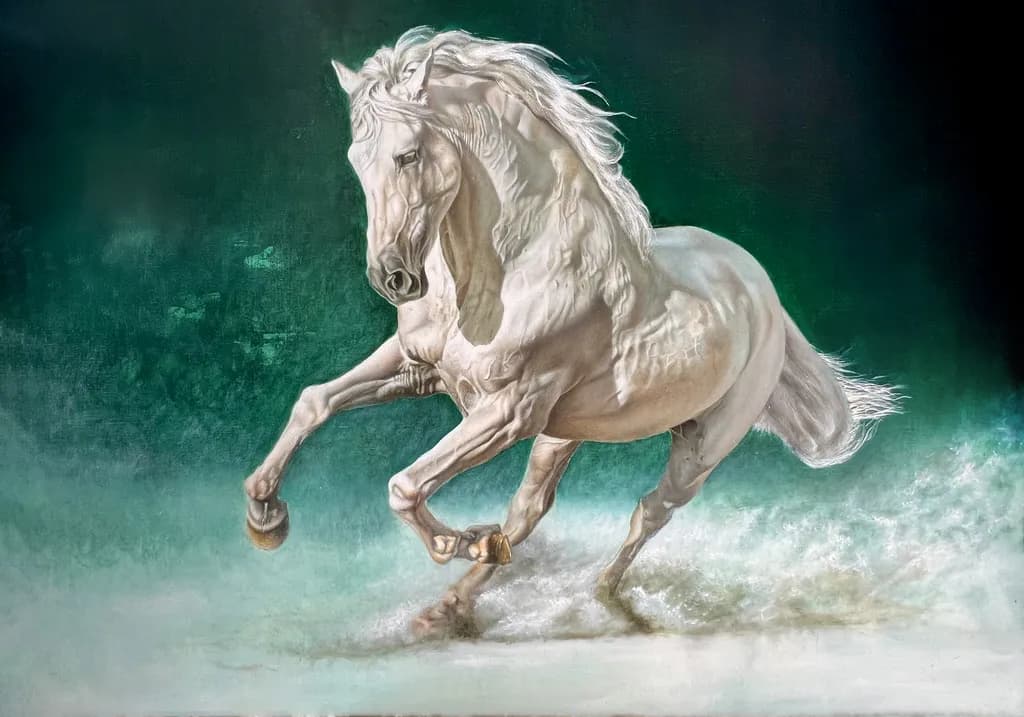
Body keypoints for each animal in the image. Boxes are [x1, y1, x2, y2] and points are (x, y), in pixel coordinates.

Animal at [243, 27, 902, 639]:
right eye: (357, 160)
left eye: (407, 155)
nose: (394, 279)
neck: (510, 269)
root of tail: (761, 290)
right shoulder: (417, 368)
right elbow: (314, 402)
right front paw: (265, 517)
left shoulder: (509, 410)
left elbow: (403, 486)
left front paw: (458, 541)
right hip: (564, 434)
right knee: (530, 511)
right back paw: (450, 605)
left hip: (701, 446)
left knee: (648, 513)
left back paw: (600, 596)